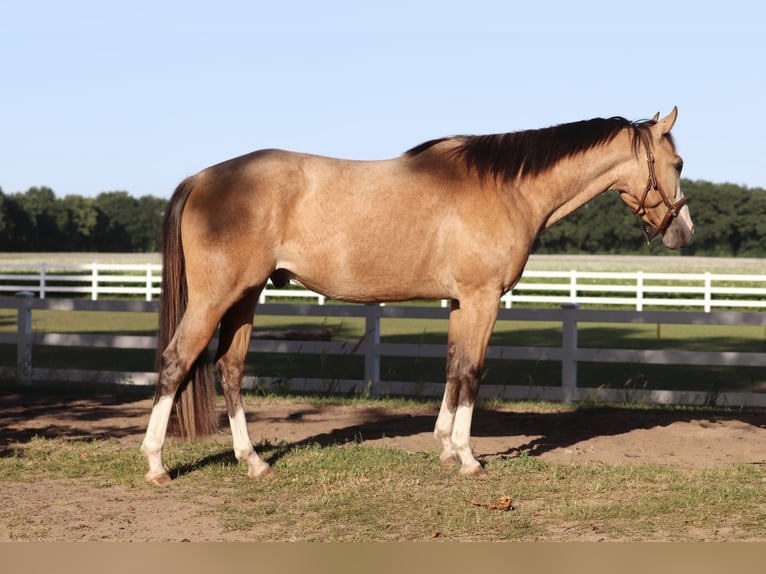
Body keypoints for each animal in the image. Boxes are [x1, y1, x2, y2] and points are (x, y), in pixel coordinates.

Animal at [140, 108, 693, 485]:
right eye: (678, 162)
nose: (683, 232)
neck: (506, 189)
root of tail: (204, 177)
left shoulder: (460, 303)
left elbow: (452, 368)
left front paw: (446, 448)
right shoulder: (483, 299)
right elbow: (472, 372)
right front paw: (468, 458)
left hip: (244, 298)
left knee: (229, 370)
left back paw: (253, 461)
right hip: (215, 298)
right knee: (175, 363)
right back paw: (156, 464)